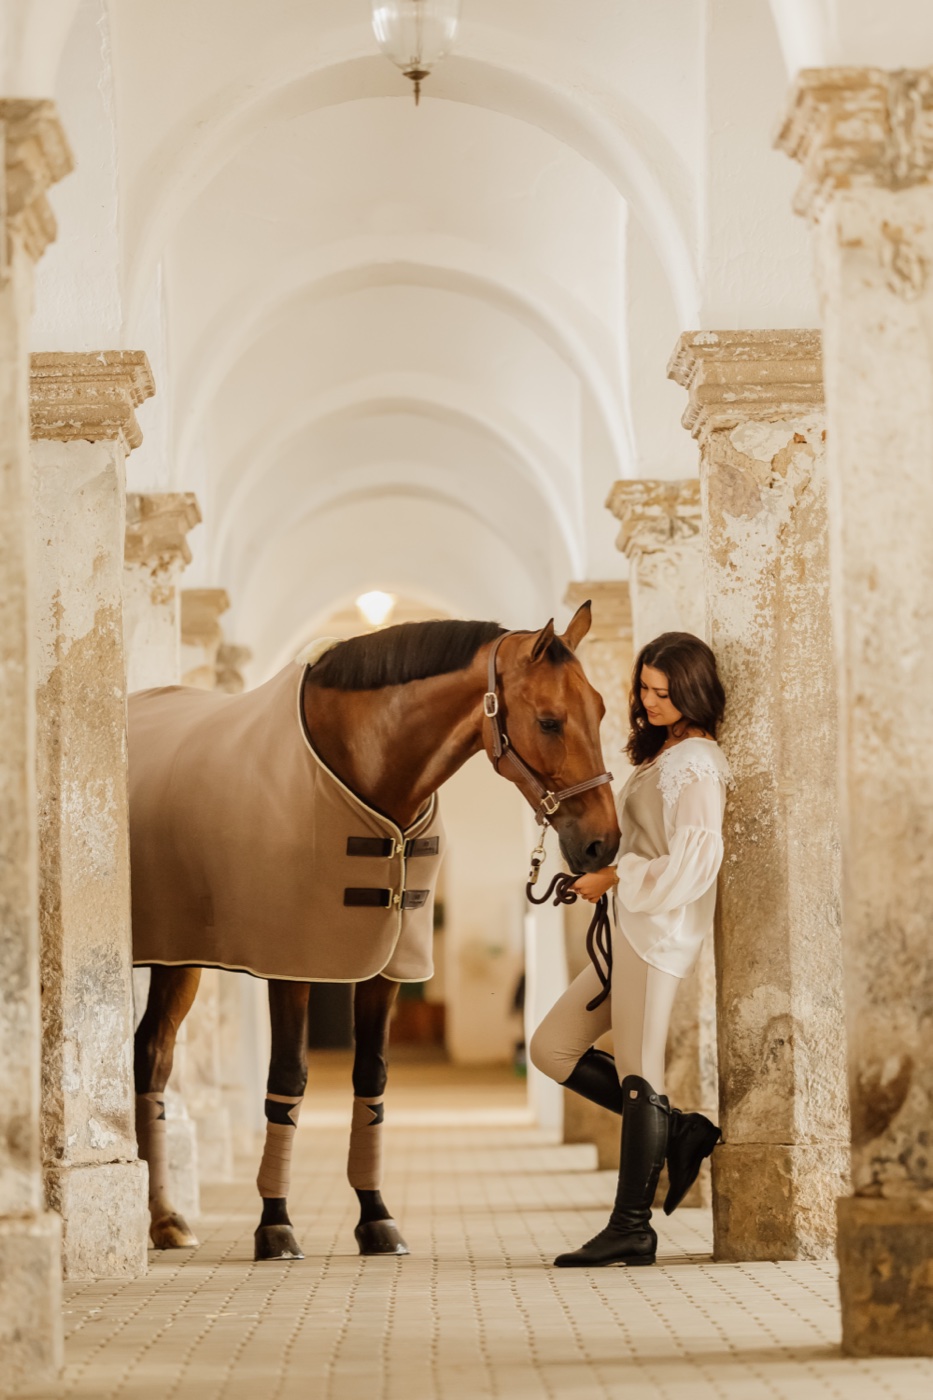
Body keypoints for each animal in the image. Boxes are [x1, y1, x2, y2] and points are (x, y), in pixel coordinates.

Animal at [130, 603, 620, 1261]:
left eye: (601, 708)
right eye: (549, 720)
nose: (603, 843)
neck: (363, 763)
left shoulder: (390, 961)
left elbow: (373, 1075)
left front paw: (376, 1217)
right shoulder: (295, 960)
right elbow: (288, 1078)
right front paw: (275, 1224)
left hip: (179, 957)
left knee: (152, 1056)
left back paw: (164, 1217)